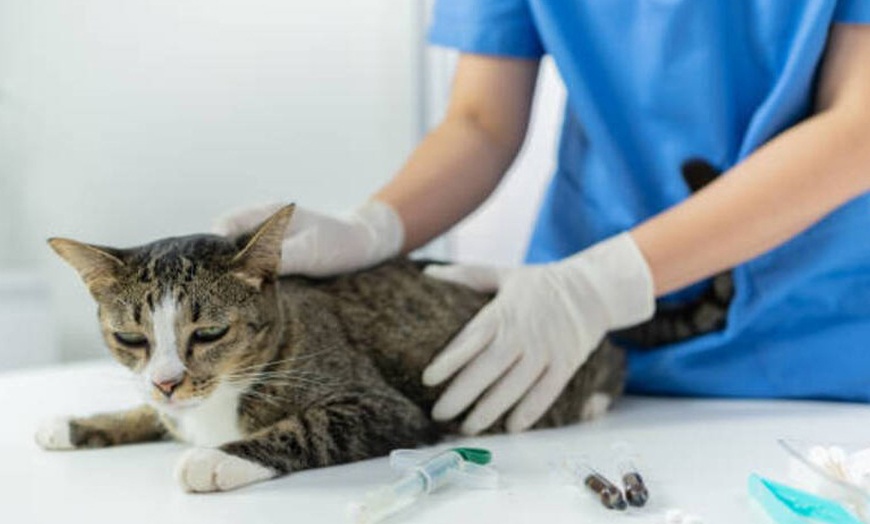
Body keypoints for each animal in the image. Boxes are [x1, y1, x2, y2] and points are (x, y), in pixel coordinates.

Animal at [35, 161, 728, 496]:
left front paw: (217, 459)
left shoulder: (384, 407)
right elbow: (150, 414)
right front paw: (75, 423)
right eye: (131, 339)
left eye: (208, 334)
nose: (169, 381)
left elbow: (305, 429)